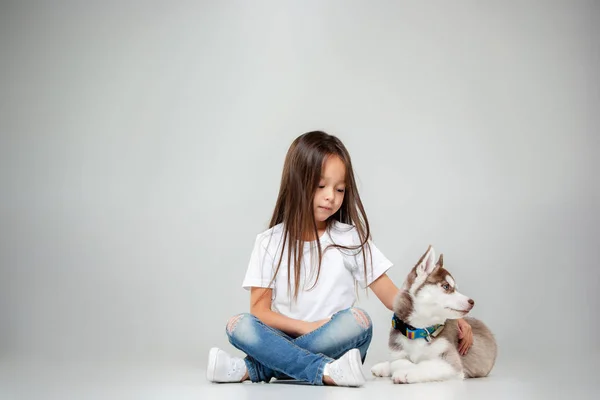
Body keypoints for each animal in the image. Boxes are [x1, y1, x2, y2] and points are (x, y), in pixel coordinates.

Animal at [370, 245, 496, 382]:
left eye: (455, 288)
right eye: (446, 286)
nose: (472, 302)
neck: (419, 330)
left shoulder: (451, 363)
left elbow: (424, 364)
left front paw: (406, 372)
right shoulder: (397, 351)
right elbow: (398, 362)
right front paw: (400, 367)